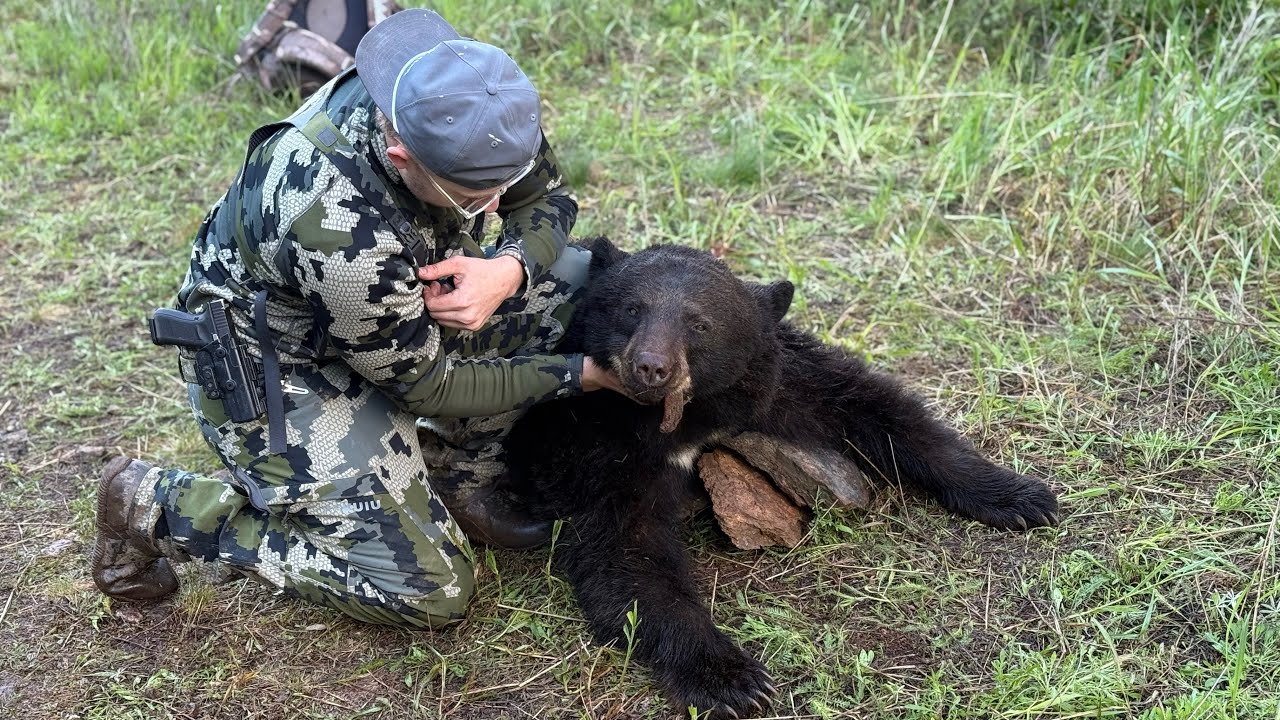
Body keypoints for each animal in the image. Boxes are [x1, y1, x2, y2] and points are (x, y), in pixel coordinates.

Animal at [504, 237, 1059, 717]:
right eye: (631, 309)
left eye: (700, 324)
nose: (651, 367)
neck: (683, 419)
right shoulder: (593, 443)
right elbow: (626, 550)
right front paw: (733, 680)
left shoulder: (774, 379)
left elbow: (878, 410)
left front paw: (1022, 497)